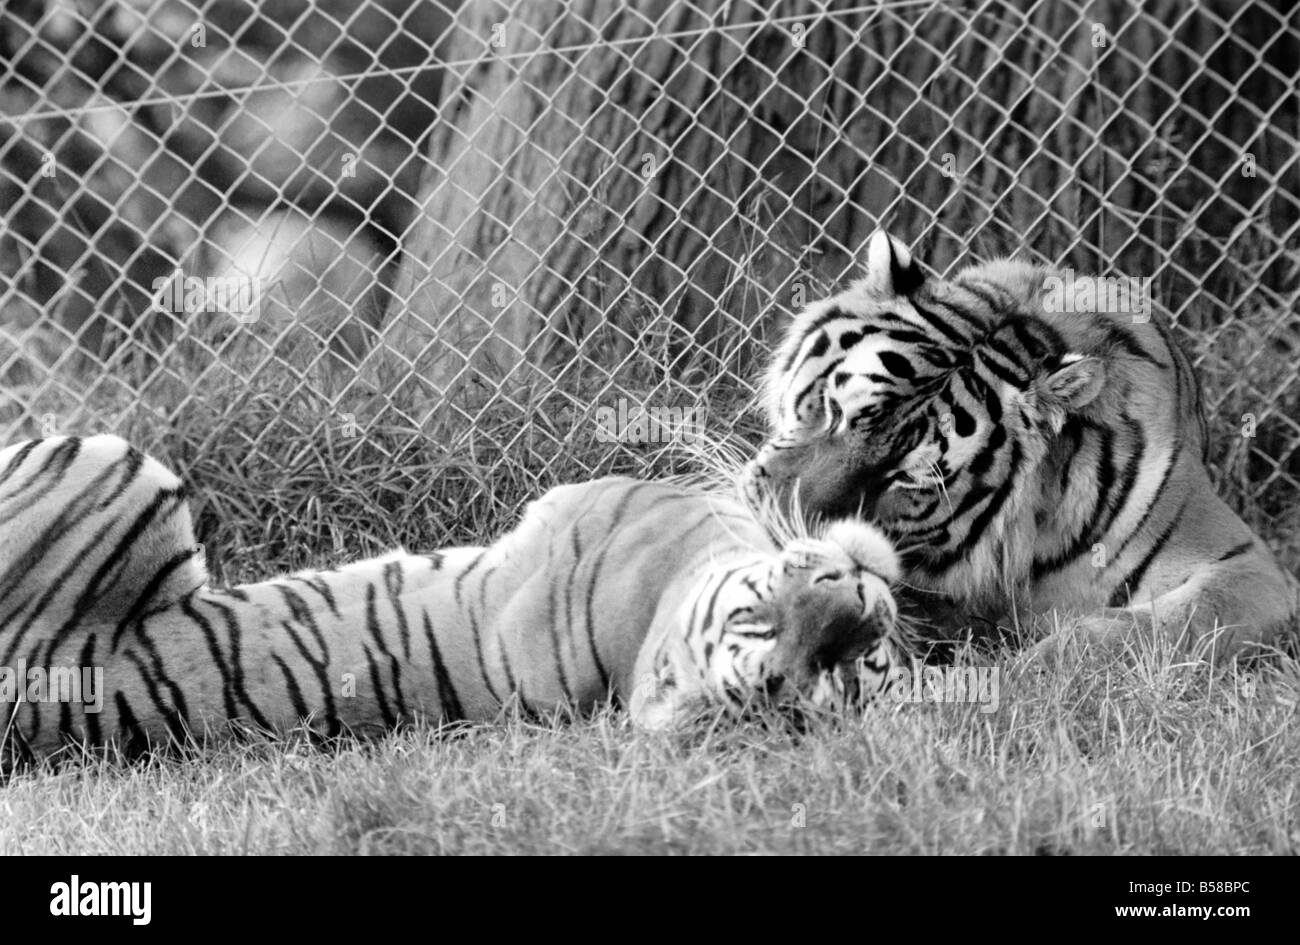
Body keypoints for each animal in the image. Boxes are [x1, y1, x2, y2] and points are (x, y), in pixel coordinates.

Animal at [743, 230, 1300, 662]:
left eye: (908, 477)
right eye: (837, 409)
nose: (776, 521)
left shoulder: (1251, 568)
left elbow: (1165, 623)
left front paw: (1026, 671)